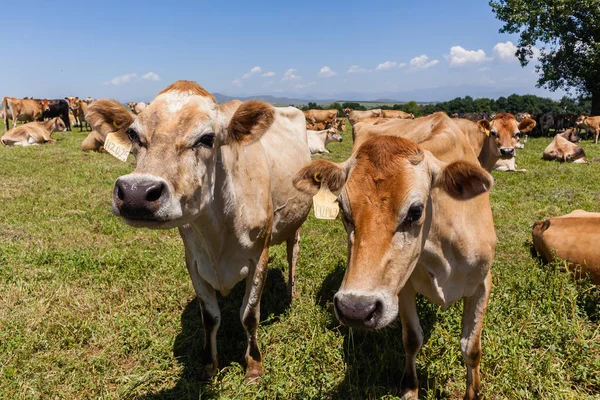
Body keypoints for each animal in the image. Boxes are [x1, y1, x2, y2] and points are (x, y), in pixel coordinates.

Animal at [87, 80, 316, 382]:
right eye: (133, 134)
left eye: (207, 138)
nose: (136, 193)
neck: (217, 229)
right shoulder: (194, 260)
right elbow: (210, 317)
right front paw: (209, 364)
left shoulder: (260, 255)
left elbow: (249, 314)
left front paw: (254, 366)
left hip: (296, 223)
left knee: (293, 253)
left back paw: (291, 292)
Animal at [292, 111, 494, 398]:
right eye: (343, 209)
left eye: (415, 211)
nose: (355, 309)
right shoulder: (402, 287)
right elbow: (412, 339)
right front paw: (410, 387)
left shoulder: (483, 283)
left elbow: (471, 349)